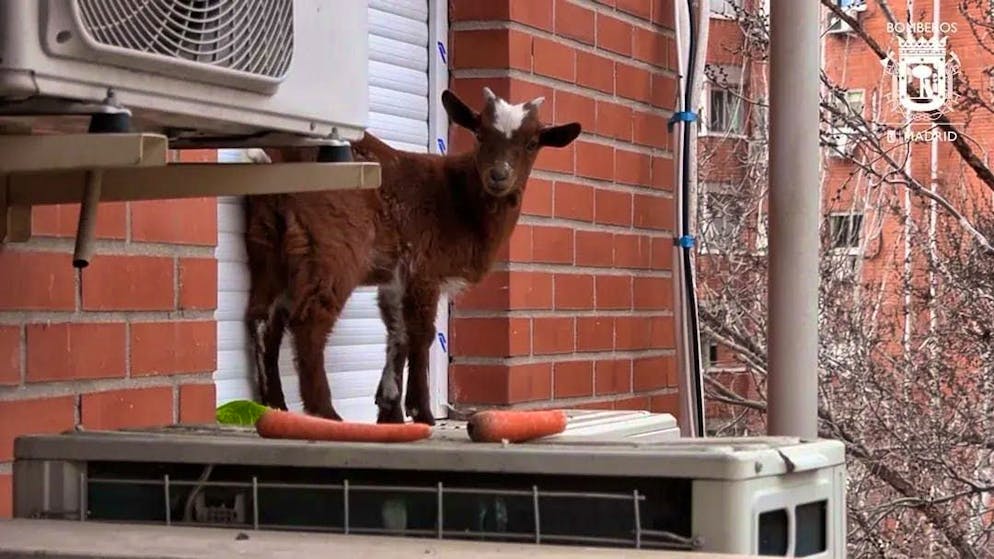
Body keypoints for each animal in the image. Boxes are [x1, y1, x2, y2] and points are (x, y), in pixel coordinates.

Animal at [244, 87, 582, 425]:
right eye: (480, 134)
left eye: (532, 143)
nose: (498, 176)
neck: (460, 199)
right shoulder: (424, 269)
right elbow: (421, 334)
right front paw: (422, 412)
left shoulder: (397, 277)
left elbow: (398, 332)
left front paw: (389, 409)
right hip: (335, 246)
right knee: (310, 319)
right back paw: (325, 412)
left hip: (267, 241)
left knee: (262, 316)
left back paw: (274, 405)